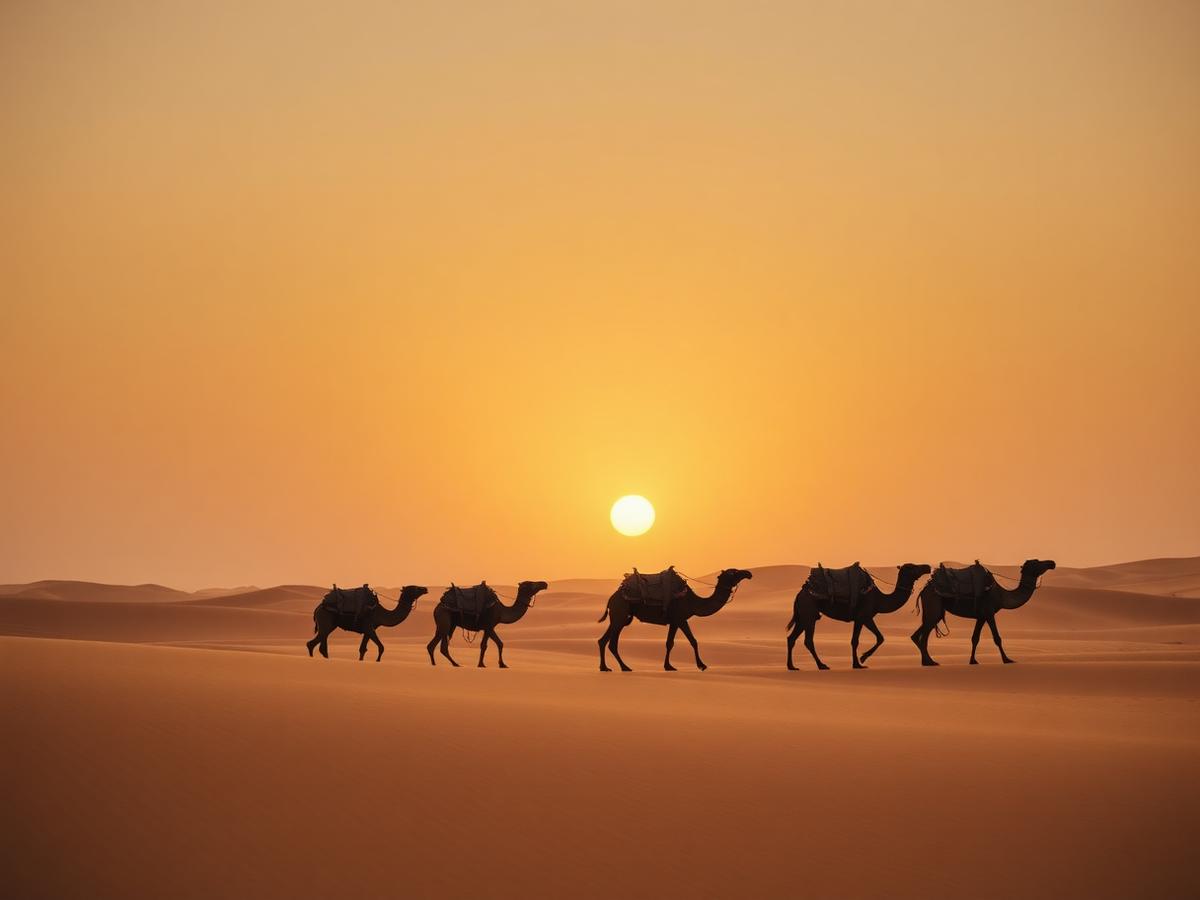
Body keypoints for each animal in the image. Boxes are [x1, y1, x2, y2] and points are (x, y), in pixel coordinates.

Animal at [596, 568, 753, 672]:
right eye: (733, 572)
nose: (748, 573)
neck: (693, 602)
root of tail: (611, 598)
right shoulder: (680, 619)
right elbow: (691, 641)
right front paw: (701, 665)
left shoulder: (675, 621)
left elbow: (670, 643)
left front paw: (668, 665)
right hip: (620, 614)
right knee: (612, 643)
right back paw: (624, 667)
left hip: (618, 618)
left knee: (603, 640)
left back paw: (605, 667)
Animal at [786, 563, 931, 670]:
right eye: (912, 566)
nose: (927, 567)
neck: (879, 599)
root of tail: (799, 595)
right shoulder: (864, 617)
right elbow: (877, 638)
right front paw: (861, 660)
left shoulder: (860, 619)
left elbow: (857, 640)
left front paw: (857, 662)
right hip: (809, 613)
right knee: (808, 640)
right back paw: (822, 665)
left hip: (802, 616)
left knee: (791, 638)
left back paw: (792, 666)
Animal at [910, 558, 1056, 666]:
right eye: (1036, 562)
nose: (1052, 563)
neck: (1001, 595)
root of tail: (924, 590)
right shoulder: (989, 612)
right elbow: (997, 638)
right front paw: (1007, 659)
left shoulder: (981, 616)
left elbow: (975, 638)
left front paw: (973, 660)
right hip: (933, 605)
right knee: (924, 635)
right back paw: (929, 662)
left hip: (934, 610)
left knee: (917, 634)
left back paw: (927, 661)